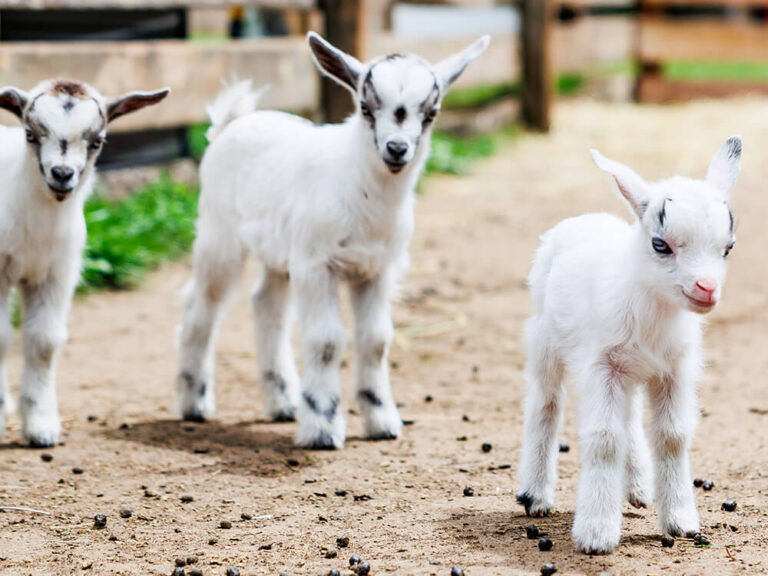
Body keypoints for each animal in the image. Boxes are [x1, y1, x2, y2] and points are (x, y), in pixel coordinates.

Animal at [0, 79, 169, 446]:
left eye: (98, 141)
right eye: (30, 134)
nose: (62, 174)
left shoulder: (57, 273)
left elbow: (44, 341)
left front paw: (42, 426)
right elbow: (2, 336)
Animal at [175, 32, 489, 449]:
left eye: (432, 112)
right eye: (365, 107)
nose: (396, 149)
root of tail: (232, 122)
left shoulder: (376, 269)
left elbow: (375, 340)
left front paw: (382, 422)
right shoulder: (316, 264)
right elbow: (326, 341)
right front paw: (322, 428)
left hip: (279, 252)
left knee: (266, 304)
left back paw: (284, 402)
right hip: (218, 233)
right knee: (201, 304)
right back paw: (194, 403)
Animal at [516, 136, 742, 553]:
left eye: (728, 247)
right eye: (660, 244)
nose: (706, 288)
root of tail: (584, 217)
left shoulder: (673, 369)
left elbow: (672, 436)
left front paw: (681, 521)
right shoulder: (602, 365)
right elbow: (605, 439)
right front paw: (596, 534)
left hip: (631, 368)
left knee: (630, 415)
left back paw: (637, 487)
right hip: (545, 341)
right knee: (546, 404)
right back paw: (535, 495)